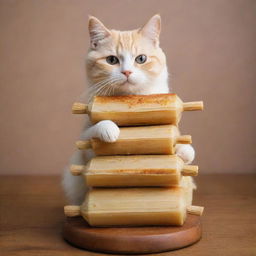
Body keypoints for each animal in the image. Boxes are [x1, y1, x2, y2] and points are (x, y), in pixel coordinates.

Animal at [61, 15, 194, 205]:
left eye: (141, 59)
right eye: (111, 60)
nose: (127, 72)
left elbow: (185, 148)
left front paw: (184, 150)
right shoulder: (85, 146)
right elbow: (93, 131)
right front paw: (109, 129)